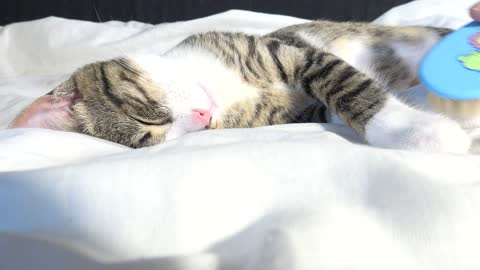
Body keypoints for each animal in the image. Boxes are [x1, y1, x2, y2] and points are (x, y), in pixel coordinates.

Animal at [9, 19, 470, 152]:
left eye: (147, 117)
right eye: (153, 136)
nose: (202, 116)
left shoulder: (289, 50)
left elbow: (345, 82)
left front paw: (416, 130)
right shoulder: (292, 113)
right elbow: (334, 105)